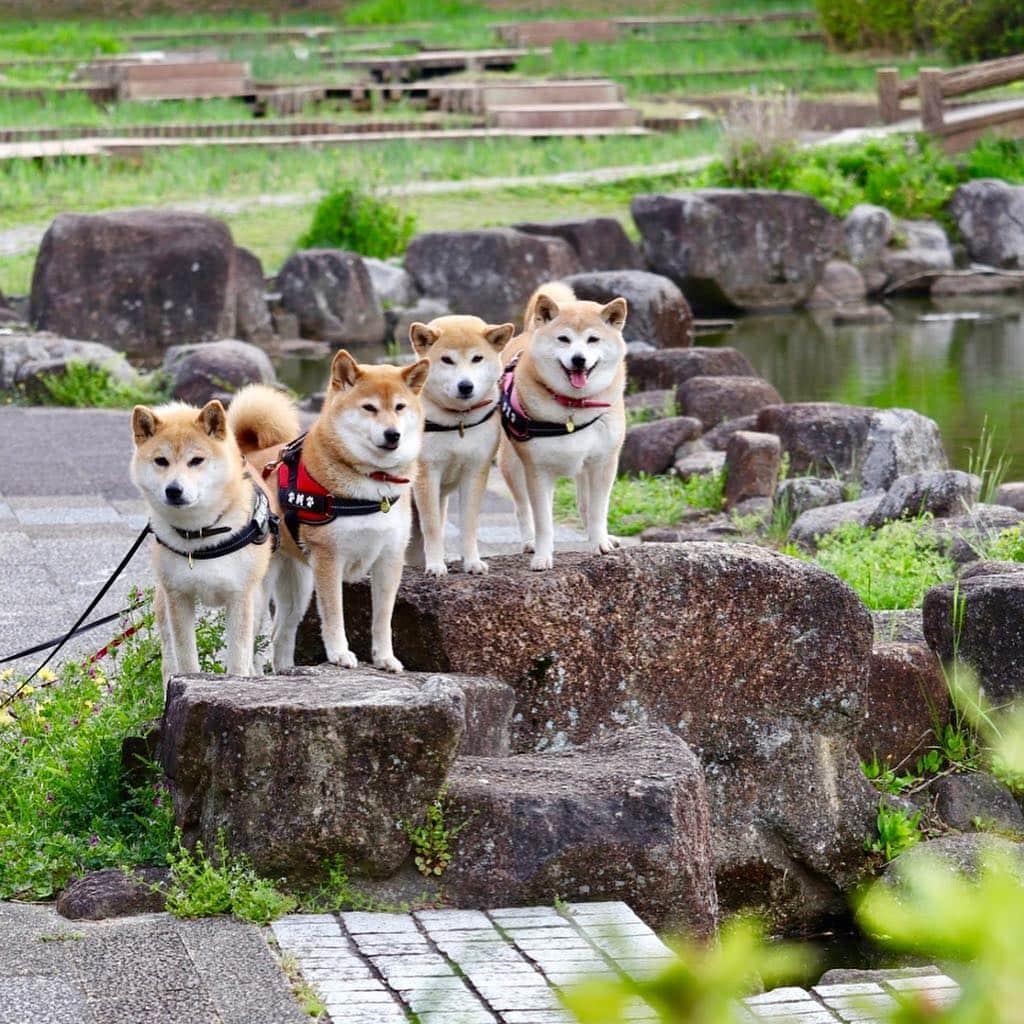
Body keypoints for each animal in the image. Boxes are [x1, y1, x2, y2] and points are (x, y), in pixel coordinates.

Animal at [129, 385, 299, 688]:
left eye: (196, 461)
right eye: (161, 461)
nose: (173, 490)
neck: (201, 535)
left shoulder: (240, 598)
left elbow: (238, 658)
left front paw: (237, 682)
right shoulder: (179, 597)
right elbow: (185, 658)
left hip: (257, 599)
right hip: (164, 603)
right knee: (168, 658)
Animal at [249, 348, 430, 675]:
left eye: (399, 407)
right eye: (369, 408)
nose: (393, 434)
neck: (374, 484)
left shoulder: (390, 558)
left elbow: (383, 618)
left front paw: (385, 658)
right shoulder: (329, 559)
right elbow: (334, 615)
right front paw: (339, 654)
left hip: (299, 588)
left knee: (281, 632)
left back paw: (286, 671)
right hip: (260, 589)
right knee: (250, 641)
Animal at [407, 313, 516, 577]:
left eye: (477, 358)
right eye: (447, 360)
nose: (465, 385)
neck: (458, 422)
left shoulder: (476, 470)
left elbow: (468, 524)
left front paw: (472, 562)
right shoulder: (427, 474)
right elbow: (432, 527)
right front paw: (436, 565)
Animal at [493, 282, 622, 569]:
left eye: (593, 339)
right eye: (564, 339)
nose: (578, 359)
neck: (573, 407)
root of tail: (529, 332)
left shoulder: (603, 463)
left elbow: (598, 510)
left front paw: (600, 542)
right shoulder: (538, 472)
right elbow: (543, 522)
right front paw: (543, 556)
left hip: (584, 469)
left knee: (584, 504)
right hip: (512, 464)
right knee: (522, 507)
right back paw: (529, 542)